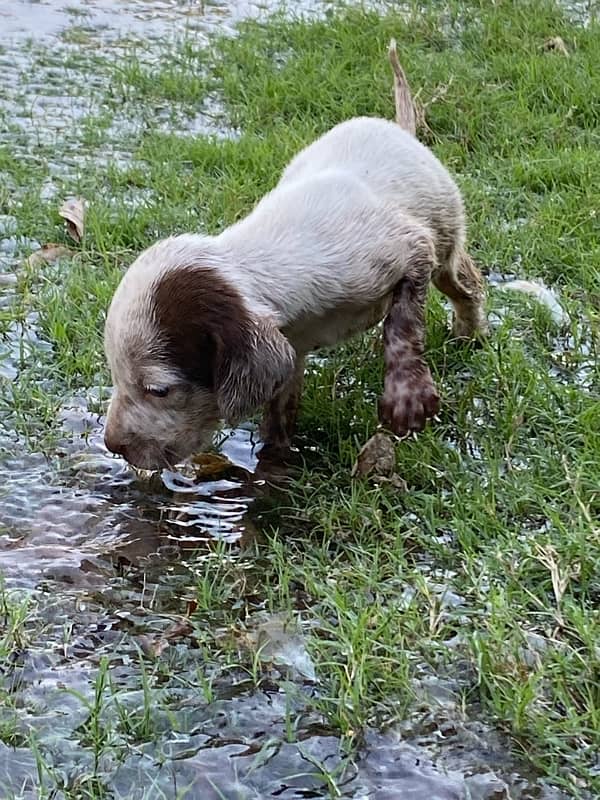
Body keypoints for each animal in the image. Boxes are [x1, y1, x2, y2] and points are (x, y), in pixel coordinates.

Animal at [103, 42, 488, 468]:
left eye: (158, 390)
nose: (112, 445)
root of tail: (399, 131)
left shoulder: (408, 250)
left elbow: (402, 327)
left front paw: (408, 398)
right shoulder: (291, 350)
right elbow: (281, 413)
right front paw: (272, 460)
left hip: (445, 235)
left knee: (465, 285)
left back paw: (470, 330)